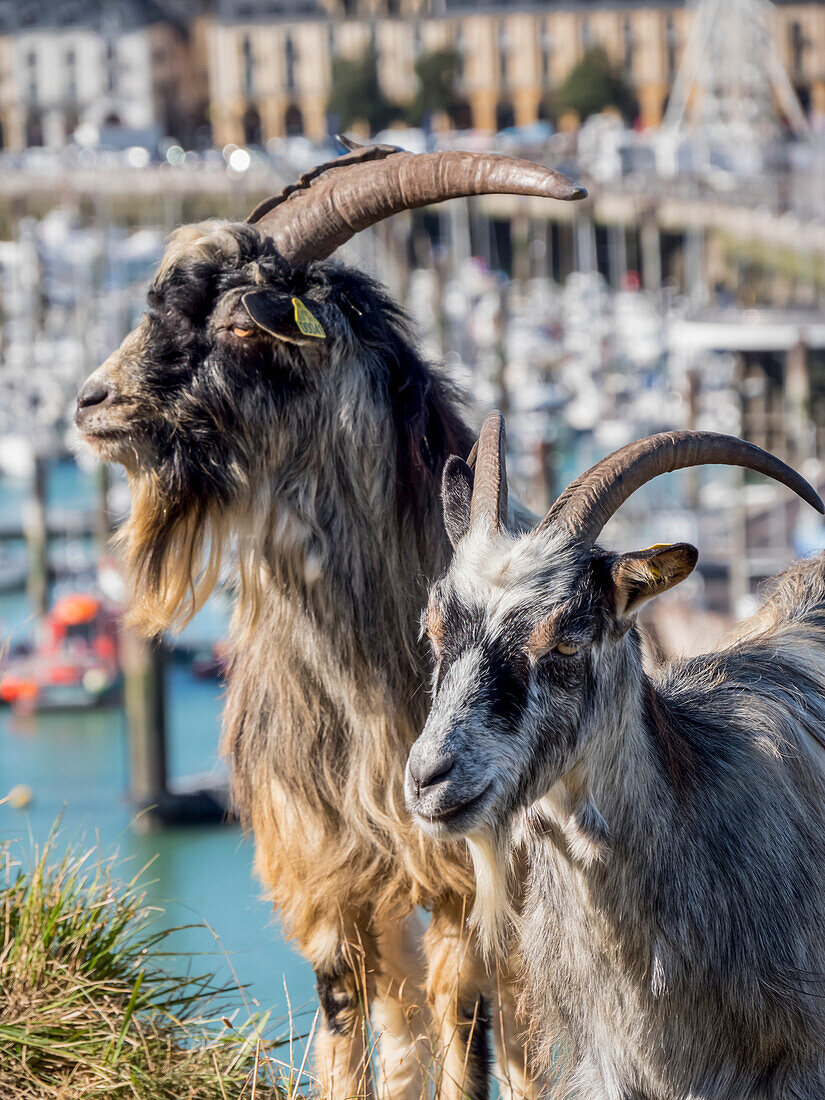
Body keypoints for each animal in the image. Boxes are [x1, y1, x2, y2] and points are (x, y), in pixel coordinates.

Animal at [72, 146, 589, 1100]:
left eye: (244, 330)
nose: (94, 403)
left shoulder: (466, 875)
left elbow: (468, 1031)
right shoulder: (326, 873)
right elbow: (349, 1025)